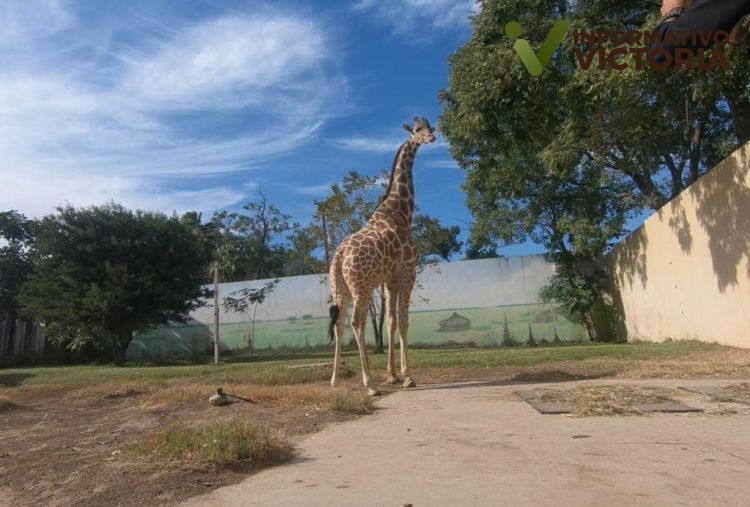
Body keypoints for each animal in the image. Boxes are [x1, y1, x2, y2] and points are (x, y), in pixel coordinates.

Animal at [328, 117, 436, 396]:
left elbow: (390, 322)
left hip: (340, 288)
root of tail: (339, 256)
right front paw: (407, 377)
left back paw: (334, 380)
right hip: (362, 286)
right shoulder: (408, 274)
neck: (401, 212)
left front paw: (393, 375)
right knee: (357, 322)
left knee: (340, 323)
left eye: (431, 126)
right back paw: (369, 384)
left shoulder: (390, 279)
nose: (432, 138)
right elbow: (405, 321)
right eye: (417, 129)